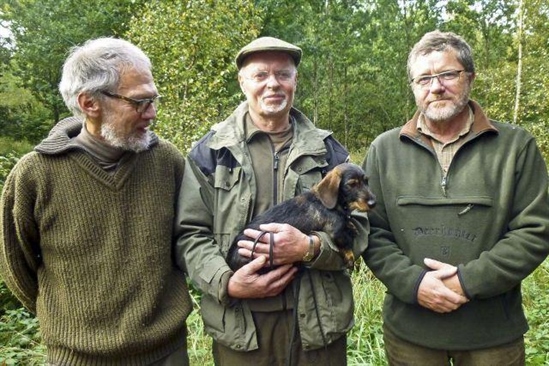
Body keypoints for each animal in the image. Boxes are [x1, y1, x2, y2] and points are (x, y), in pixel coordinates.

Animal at [227, 163, 376, 272]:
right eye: (351, 184)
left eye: (366, 181)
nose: (373, 203)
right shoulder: (336, 231)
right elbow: (346, 243)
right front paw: (350, 258)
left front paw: (350, 224)